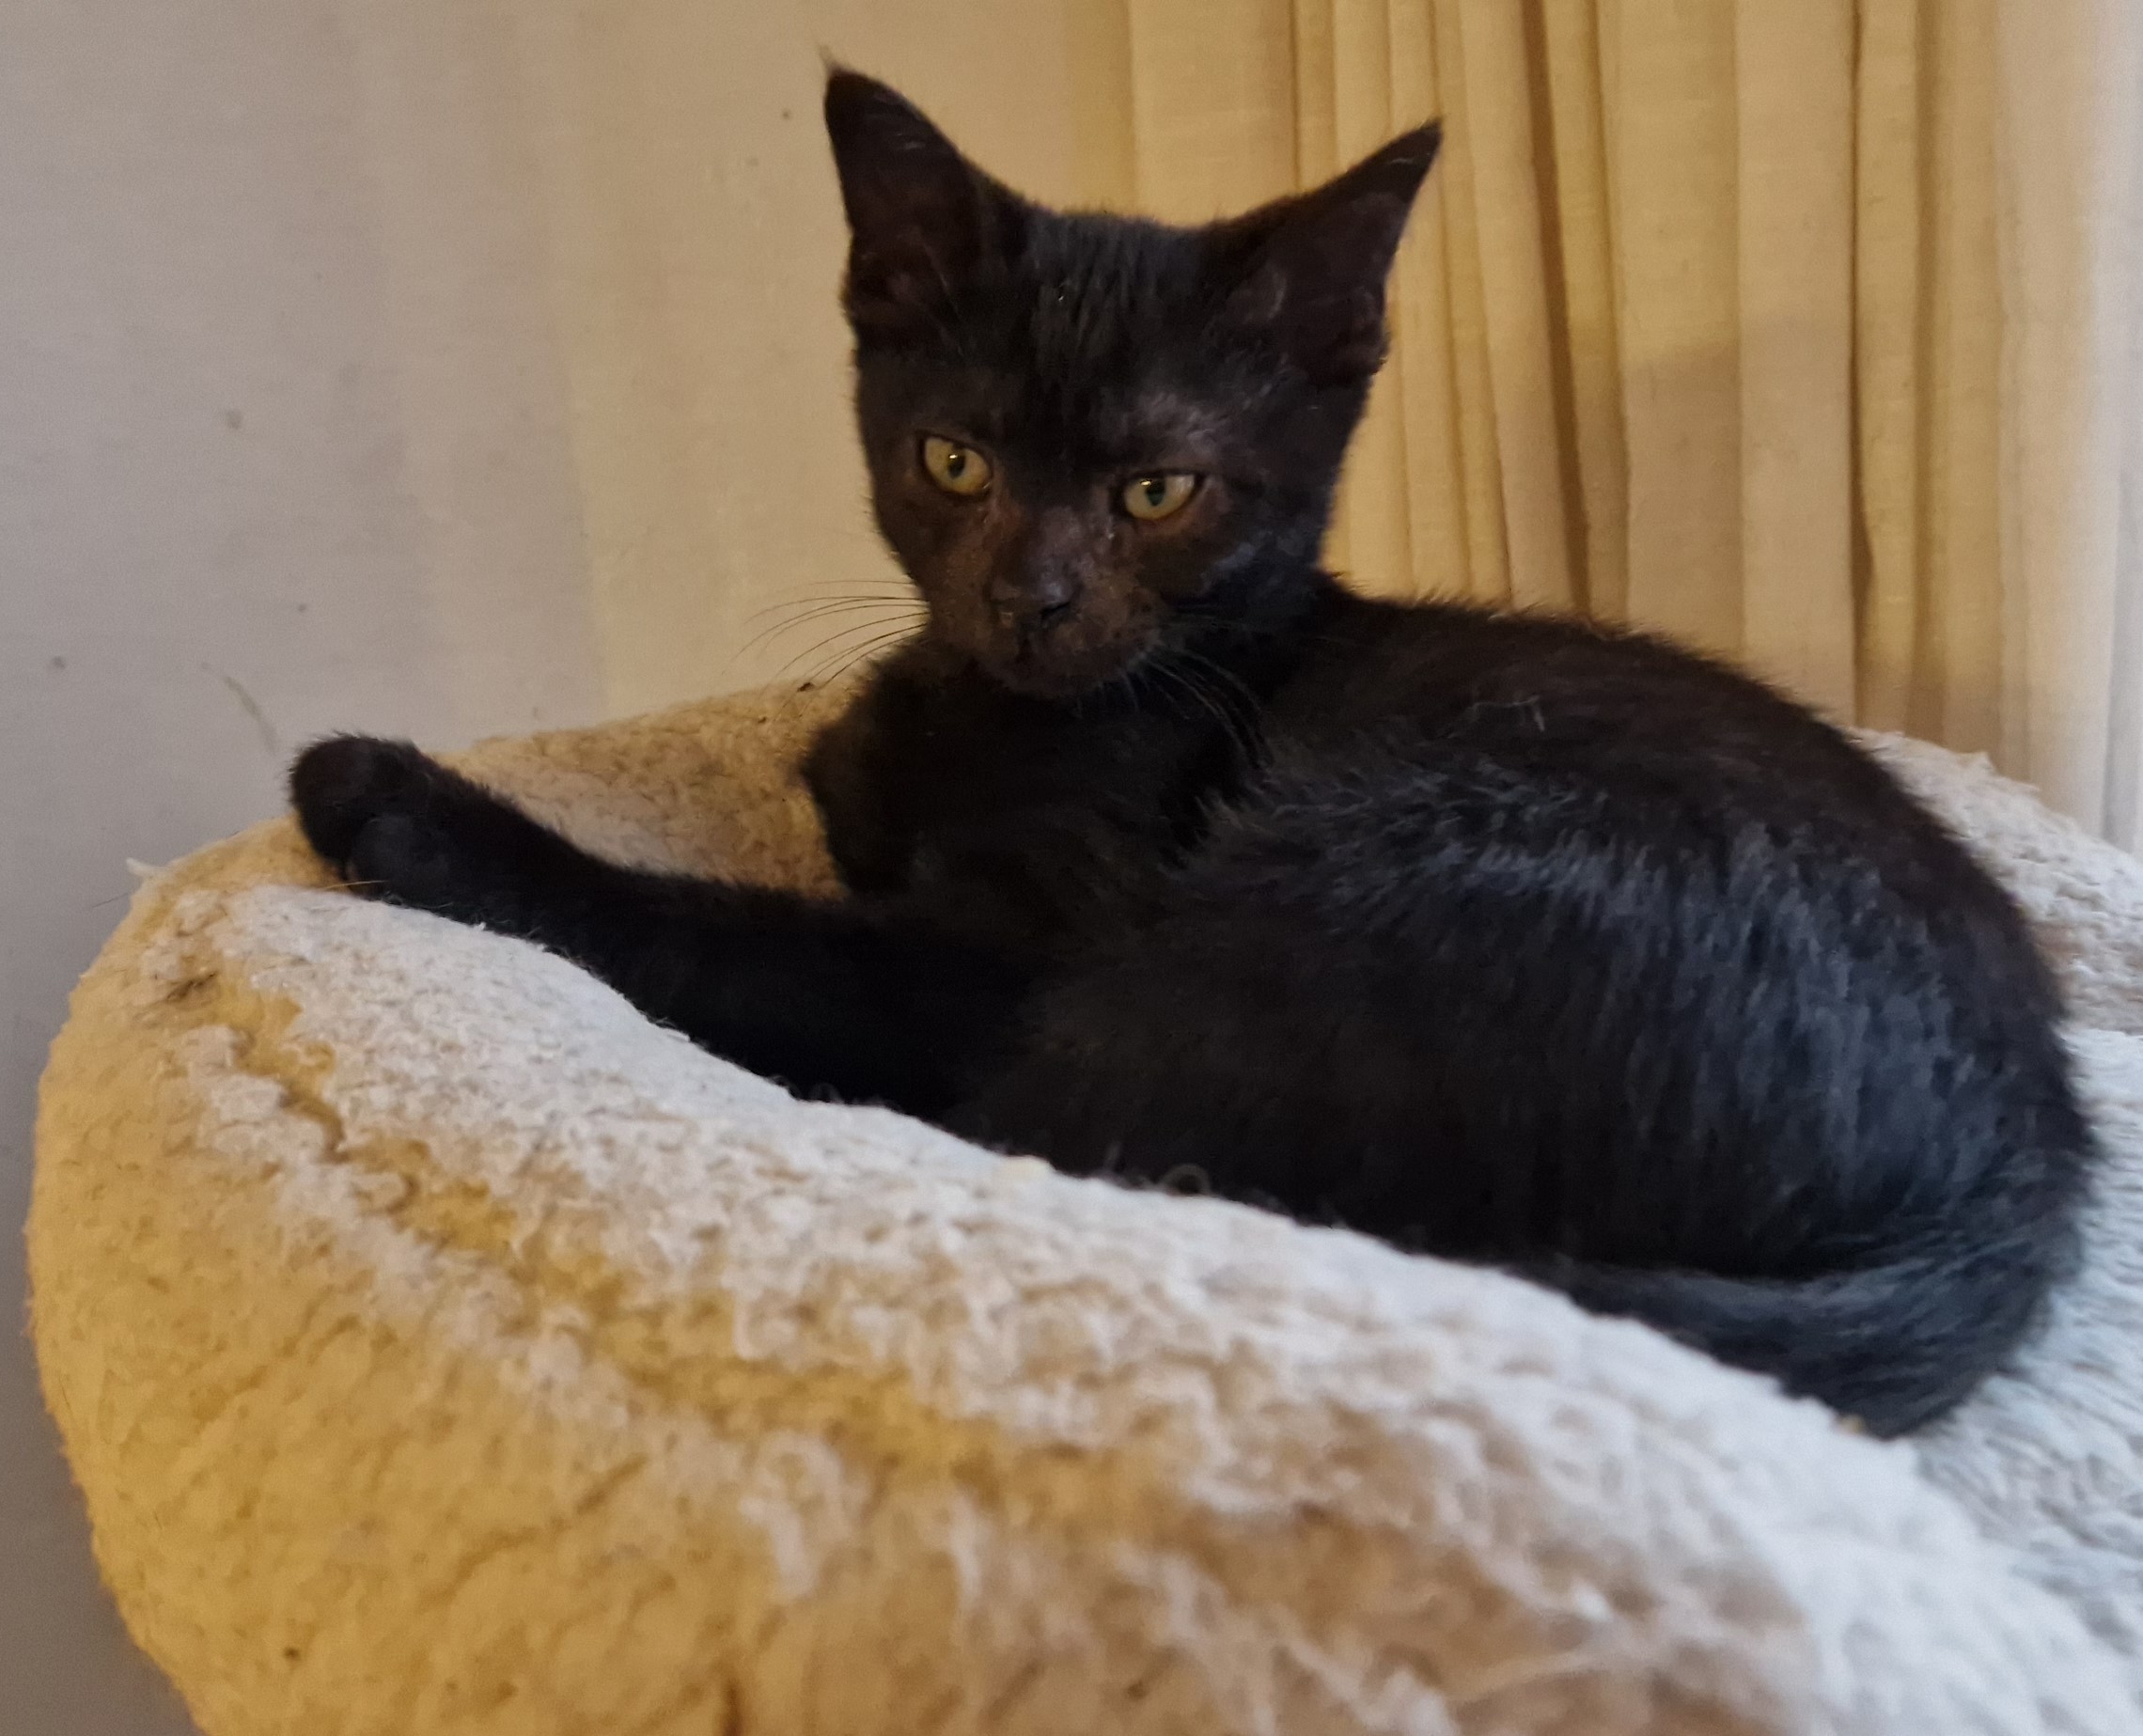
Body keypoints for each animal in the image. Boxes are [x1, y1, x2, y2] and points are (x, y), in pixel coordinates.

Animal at [289, 69, 2092, 1437]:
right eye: (955, 459)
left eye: (1160, 489)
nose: (1031, 596)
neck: (1004, 708)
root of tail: (2030, 1156)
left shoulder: (1009, 955)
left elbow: (740, 932)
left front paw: (396, 802)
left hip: (1342, 900)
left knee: (1039, 1128)